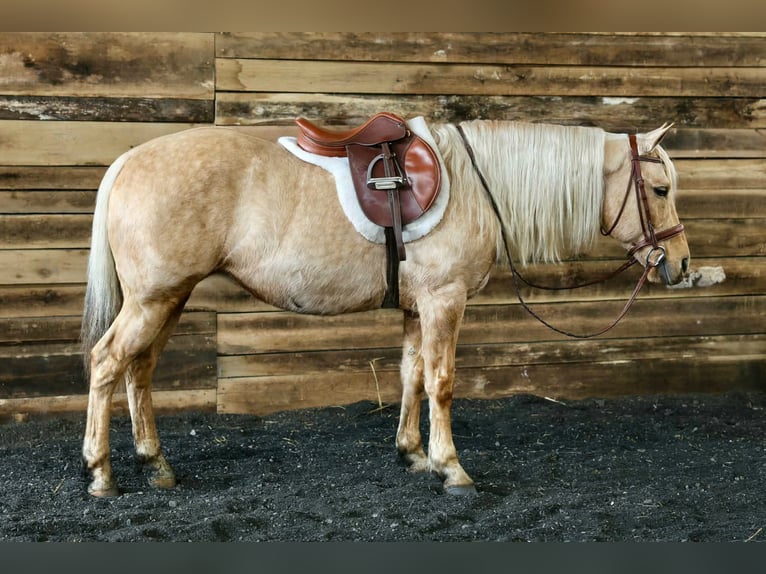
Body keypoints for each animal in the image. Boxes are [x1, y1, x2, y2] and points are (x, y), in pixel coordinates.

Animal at [80, 118, 690, 497]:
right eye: (660, 189)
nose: (680, 263)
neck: (475, 185)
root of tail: (128, 159)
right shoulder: (445, 300)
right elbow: (441, 382)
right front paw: (451, 467)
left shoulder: (419, 308)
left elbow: (411, 375)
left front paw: (413, 453)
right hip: (154, 299)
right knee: (107, 363)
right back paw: (102, 473)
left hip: (169, 298)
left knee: (140, 368)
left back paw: (155, 463)